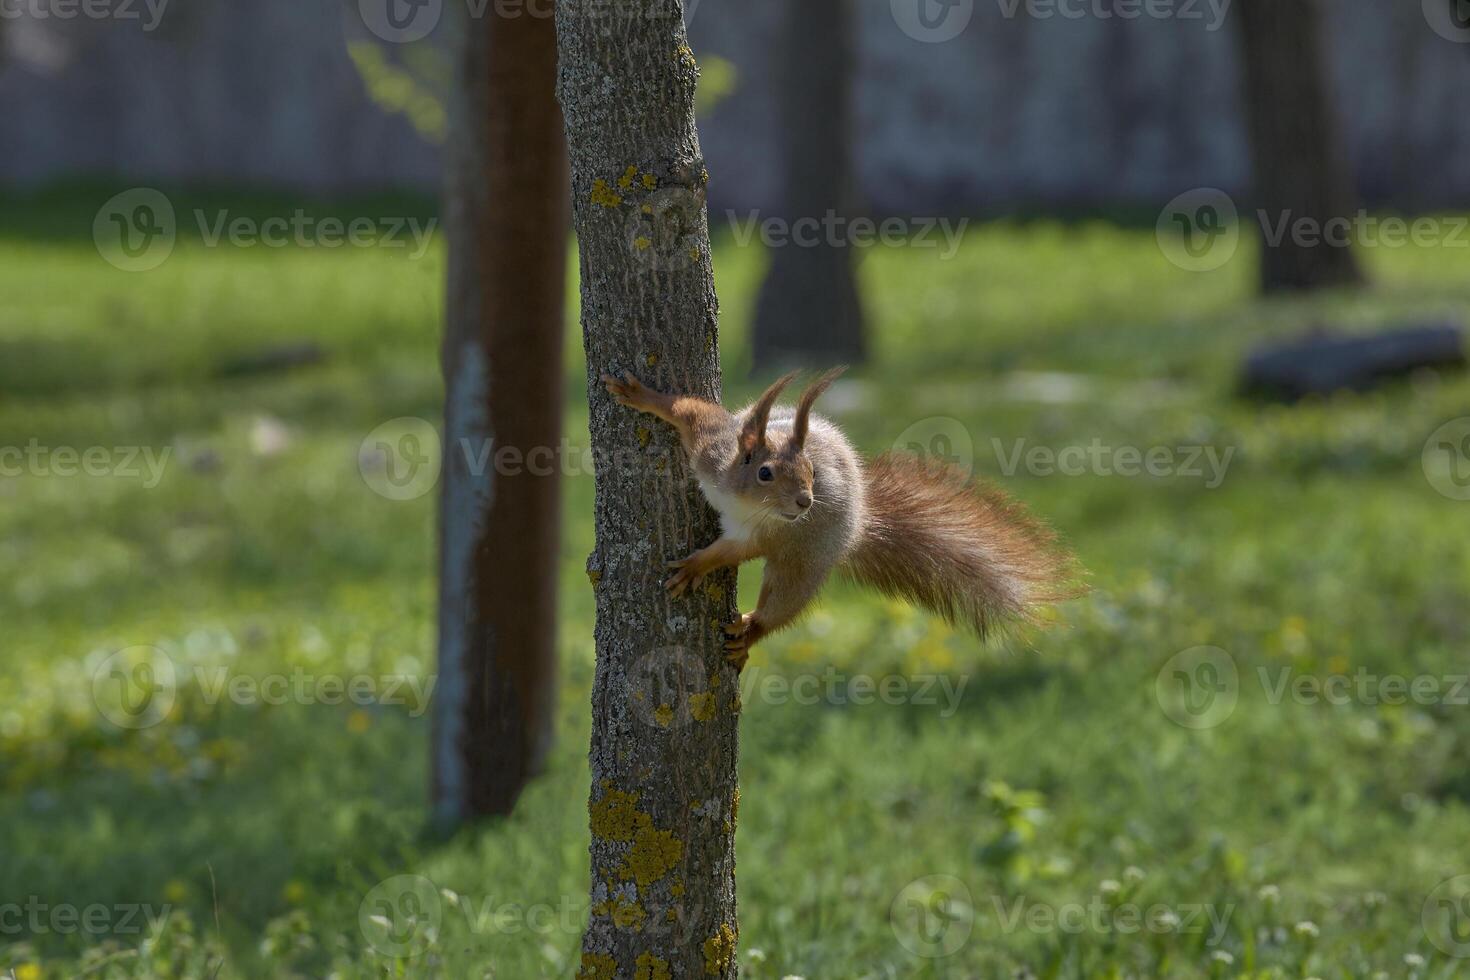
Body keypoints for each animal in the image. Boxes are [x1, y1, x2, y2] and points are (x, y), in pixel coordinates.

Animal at [599, 367, 1081, 675]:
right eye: (765, 473)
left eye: (812, 470)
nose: (806, 502)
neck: (742, 499)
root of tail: (857, 525)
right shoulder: (711, 451)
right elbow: (689, 411)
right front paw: (642, 396)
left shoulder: (765, 532)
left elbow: (733, 551)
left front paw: (696, 566)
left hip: (804, 562)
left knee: (783, 605)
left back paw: (752, 629)